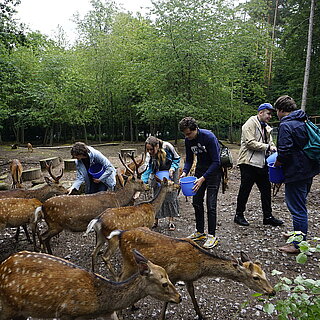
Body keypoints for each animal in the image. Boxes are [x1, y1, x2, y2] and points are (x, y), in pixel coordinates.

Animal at [0, 250, 180, 320]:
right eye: (164, 283)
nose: (179, 297)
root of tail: (3, 264)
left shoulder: (108, 313)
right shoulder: (65, 312)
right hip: (9, 305)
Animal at [107, 228, 276, 320]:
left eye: (264, 273)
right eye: (255, 277)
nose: (272, 291)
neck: (199, 265)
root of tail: (120, 234)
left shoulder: (189, 278)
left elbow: (193, 295)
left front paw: (201, 316)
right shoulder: (173, 275)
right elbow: (168, 300)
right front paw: (162, 317)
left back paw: (133, 305)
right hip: (129, 262)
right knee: (120, 277)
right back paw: (122, 311)